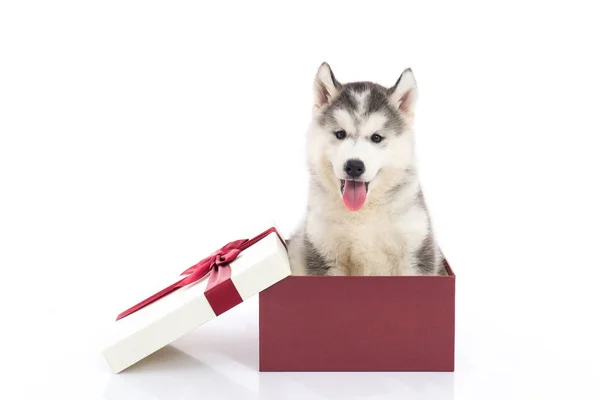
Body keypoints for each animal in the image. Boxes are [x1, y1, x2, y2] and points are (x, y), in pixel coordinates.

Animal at [286, 62, 446, 276]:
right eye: (340, 134)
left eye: (376, 138)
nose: (354, 166)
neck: (362, 212)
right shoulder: (325, 256)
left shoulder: (415, 253)